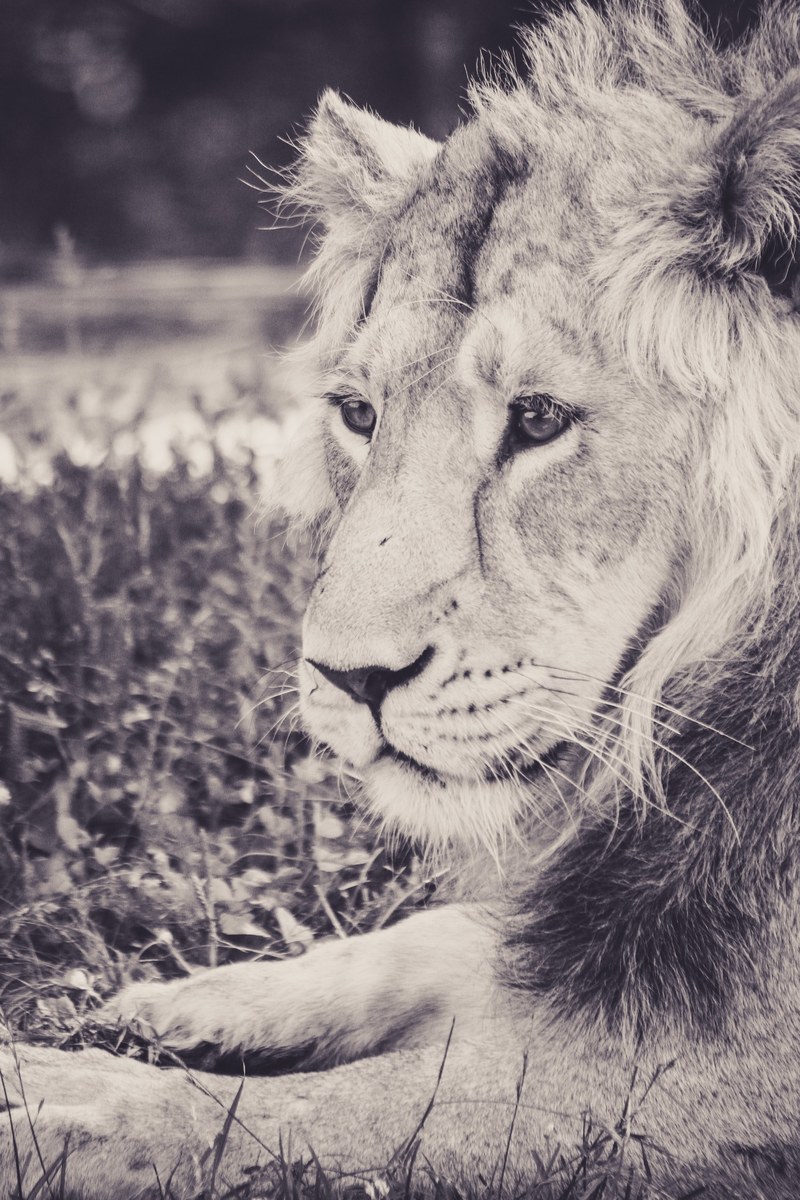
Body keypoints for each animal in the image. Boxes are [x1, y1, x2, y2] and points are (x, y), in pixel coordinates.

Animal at [2, 1, 800, 1196]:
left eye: (538, 419)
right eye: (358, 414)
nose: (351, 679)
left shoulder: (691, 1086)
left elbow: (317, 1116)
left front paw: (67, 1099)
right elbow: (443, 935)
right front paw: (192, 999)